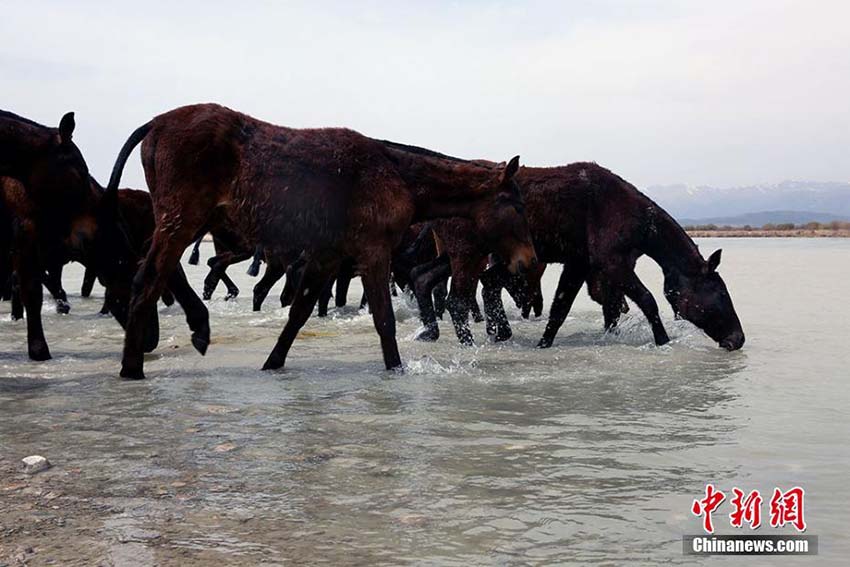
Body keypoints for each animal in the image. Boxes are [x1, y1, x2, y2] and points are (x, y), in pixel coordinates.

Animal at [102, 104, 532, 380]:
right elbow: (384, 318)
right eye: (516, 204)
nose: (528, 261)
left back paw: (195, 329)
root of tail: (155, 124)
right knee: (149, 281)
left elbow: (299, 312)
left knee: (159, 274)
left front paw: (273, 363)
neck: (396, 175)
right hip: (182, 222)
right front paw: (396, 369)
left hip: (183, 223)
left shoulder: (328, 256)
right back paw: (133, 366)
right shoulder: (373, 251)